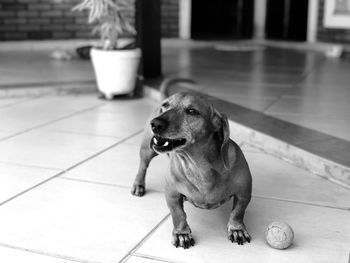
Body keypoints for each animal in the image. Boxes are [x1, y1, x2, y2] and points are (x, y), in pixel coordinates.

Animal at [131, 78, 252, 250]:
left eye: (191, 111)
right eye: (166, 105)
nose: (155, 123)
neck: (198, 166)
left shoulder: (244, 193)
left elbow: (238, 212)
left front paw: (237, 229)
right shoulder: (172, 195)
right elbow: (178, 214)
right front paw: (182, 234)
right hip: (147, 150)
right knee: (142, 167)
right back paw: (138, 185)